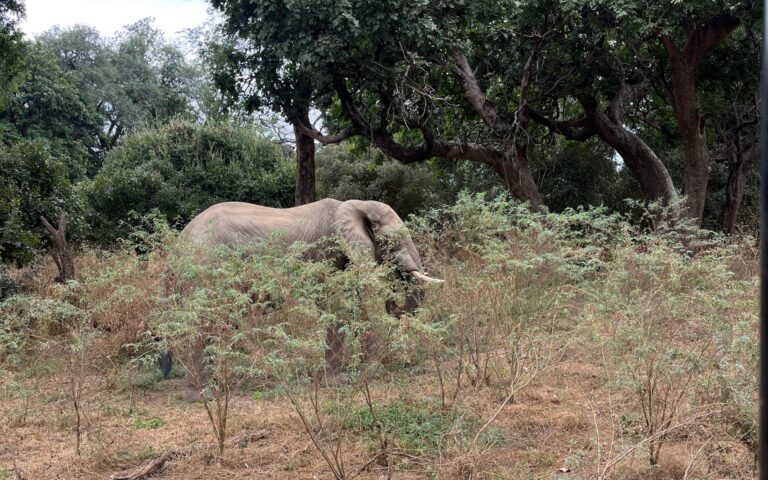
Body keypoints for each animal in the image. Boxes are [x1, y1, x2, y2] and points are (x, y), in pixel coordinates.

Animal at [163, 198, 442, 378]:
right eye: (393, 240)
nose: (393, 303)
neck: (354, 204)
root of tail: (177, 244)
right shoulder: (327, 251)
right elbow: (335, 306)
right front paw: (338, 377)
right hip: (204, 266)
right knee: (204, 322)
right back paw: (205, 392)